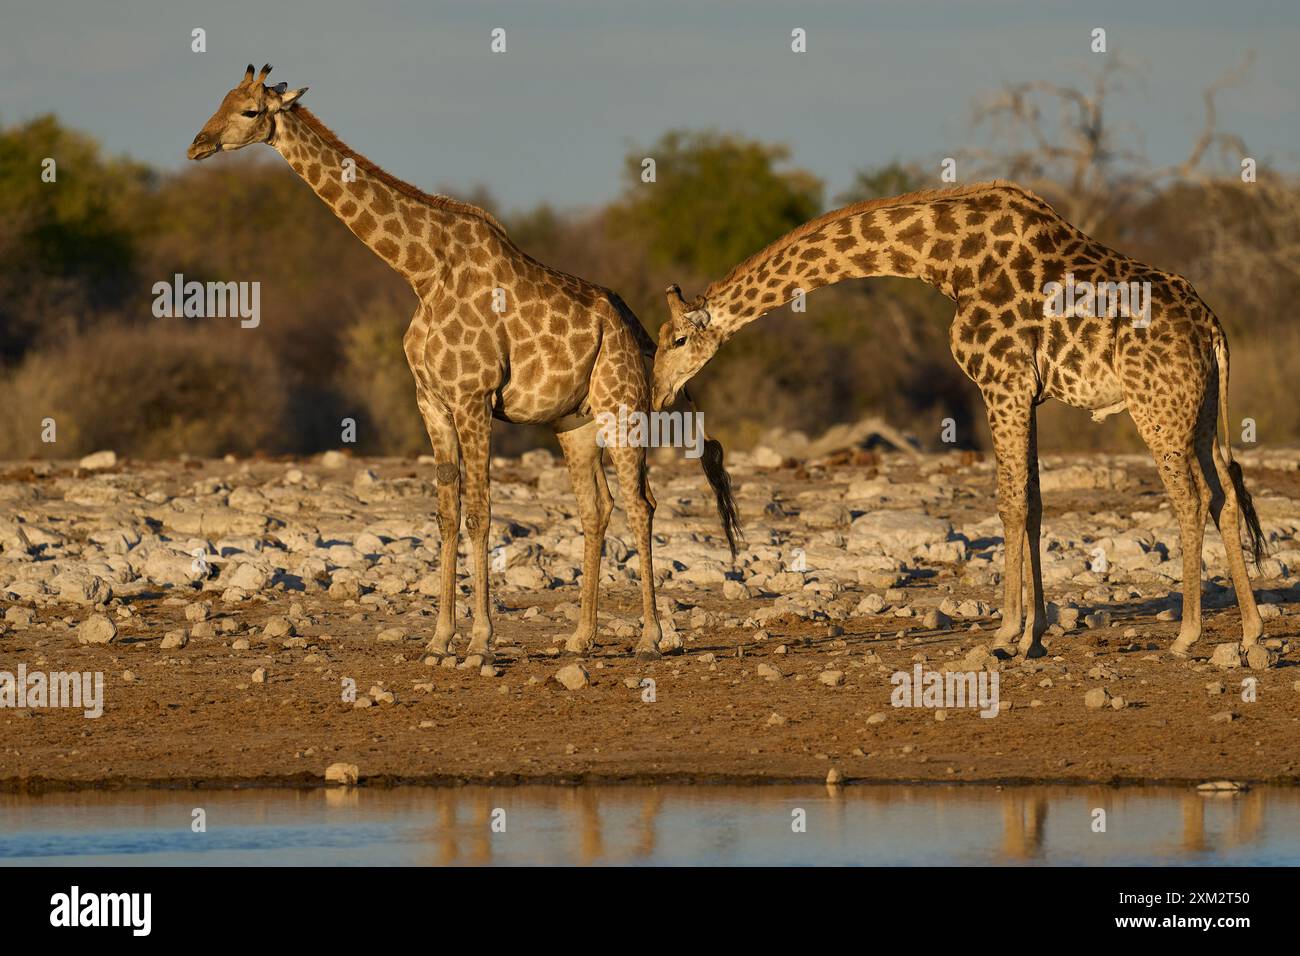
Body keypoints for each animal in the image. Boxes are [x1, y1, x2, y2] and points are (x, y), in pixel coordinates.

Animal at [188, 65, 740, 663]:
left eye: (248, 111)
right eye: (220, 100)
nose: (198, 144)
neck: (422, 272)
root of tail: (638, 333)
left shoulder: (474, 398)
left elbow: (480, 512)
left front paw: (479, 641)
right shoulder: (431, 402)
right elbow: (446, 515)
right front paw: (438, 639)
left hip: (622, 409)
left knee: (642, 503)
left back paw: (650, 637)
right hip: (574, 422)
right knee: (598, 508)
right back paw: (580, 637)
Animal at [652, 180, 1266, 659]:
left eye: (677, 340)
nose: (658, 395)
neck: (945, 261)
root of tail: (1213, 327)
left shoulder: (1002, 383)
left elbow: (1010, 505)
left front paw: (1004, 634)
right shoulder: (1026, 394)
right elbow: (1033, 505)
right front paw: (1034, 638)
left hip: (1156, 407)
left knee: (1190, 497)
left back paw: (1187, 637)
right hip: (1199, 410)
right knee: (1223, 494)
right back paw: (1251, 633)